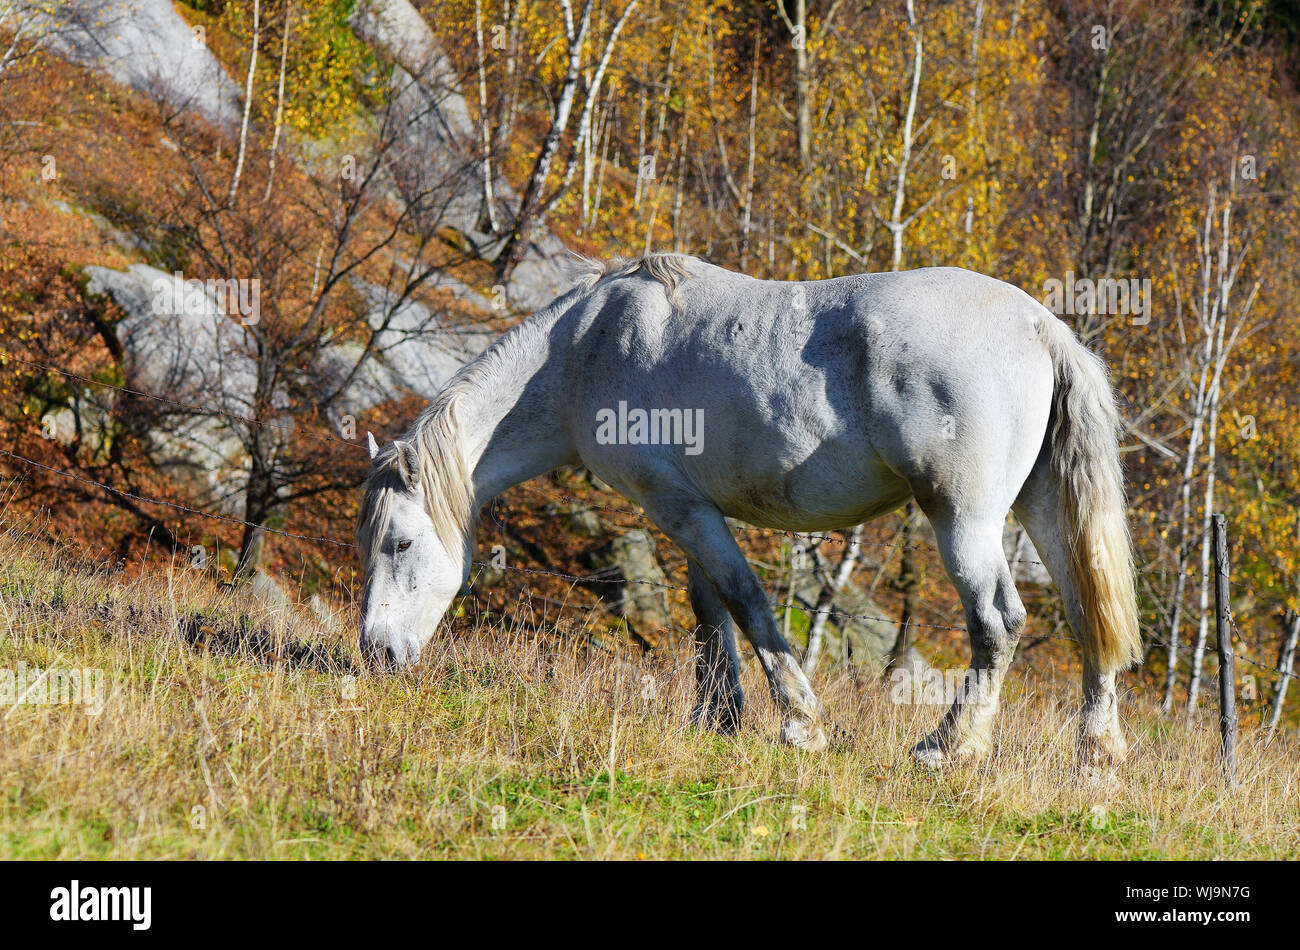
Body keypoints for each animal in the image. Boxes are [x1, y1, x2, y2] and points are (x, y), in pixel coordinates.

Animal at [356, 253, 1142, 768]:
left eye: (399, 544)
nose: (376, 653)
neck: (583, 347)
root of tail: (1041, 328)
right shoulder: (691, 509)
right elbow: (709, 608)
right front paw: (717, 717)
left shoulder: (677, 505)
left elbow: (744, 599)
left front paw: (798, 722)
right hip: (1043, 511)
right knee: (1087, 618)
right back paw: (1097, 756)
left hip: (962, 521)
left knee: (998, 624)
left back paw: (948, 747)